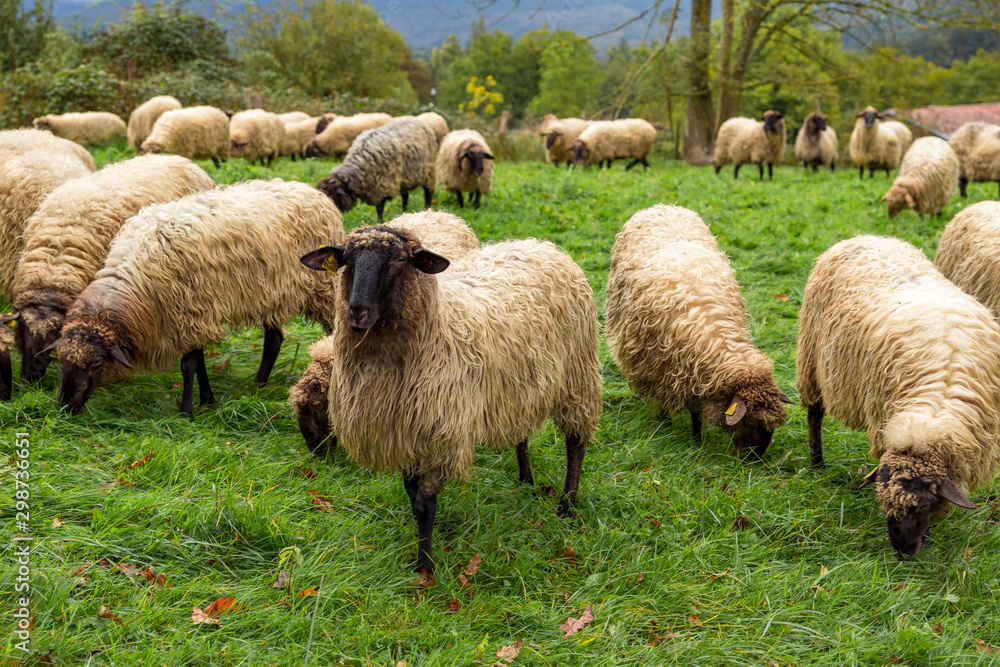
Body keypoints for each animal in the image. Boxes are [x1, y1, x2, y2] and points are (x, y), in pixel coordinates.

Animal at [48, 179, 345, 417]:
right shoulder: (193, 315)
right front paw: (207, 399)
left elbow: (188, 365)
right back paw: (258, 385)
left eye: (97, 362)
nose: (65, 406)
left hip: (324, 290)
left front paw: (187, 410)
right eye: (61, 359)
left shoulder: (191, 312)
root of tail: (311, 191)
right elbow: (199, 361)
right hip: (270, 294)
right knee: (274, 339)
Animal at [299, 226, 602, 573]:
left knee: (576, 441)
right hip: (518, 385)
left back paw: (567, 505)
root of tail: (539, 245)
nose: (357, 313)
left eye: (401, 259)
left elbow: (423, 504)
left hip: (577, 374)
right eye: (346, 259)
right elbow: (412, 497)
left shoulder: (442, 436)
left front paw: (425, 566)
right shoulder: (405, 432)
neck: (436, 327)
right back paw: (526, 480)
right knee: (520, 431)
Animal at [605, 204, 790, 456]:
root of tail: (660, 206)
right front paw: (679, 430)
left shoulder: (693, 375)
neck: (716, 334)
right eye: (751, 421)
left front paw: (696, 439)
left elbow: (696, 412)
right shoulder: (664, 367)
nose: (754, 458)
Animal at [797, 235, 1000, 557]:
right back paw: (818, 463)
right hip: (812, 361)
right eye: (885, 502)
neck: (934, 411)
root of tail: (865, 237)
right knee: (814, 414)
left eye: (925, 505)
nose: (903, 552)